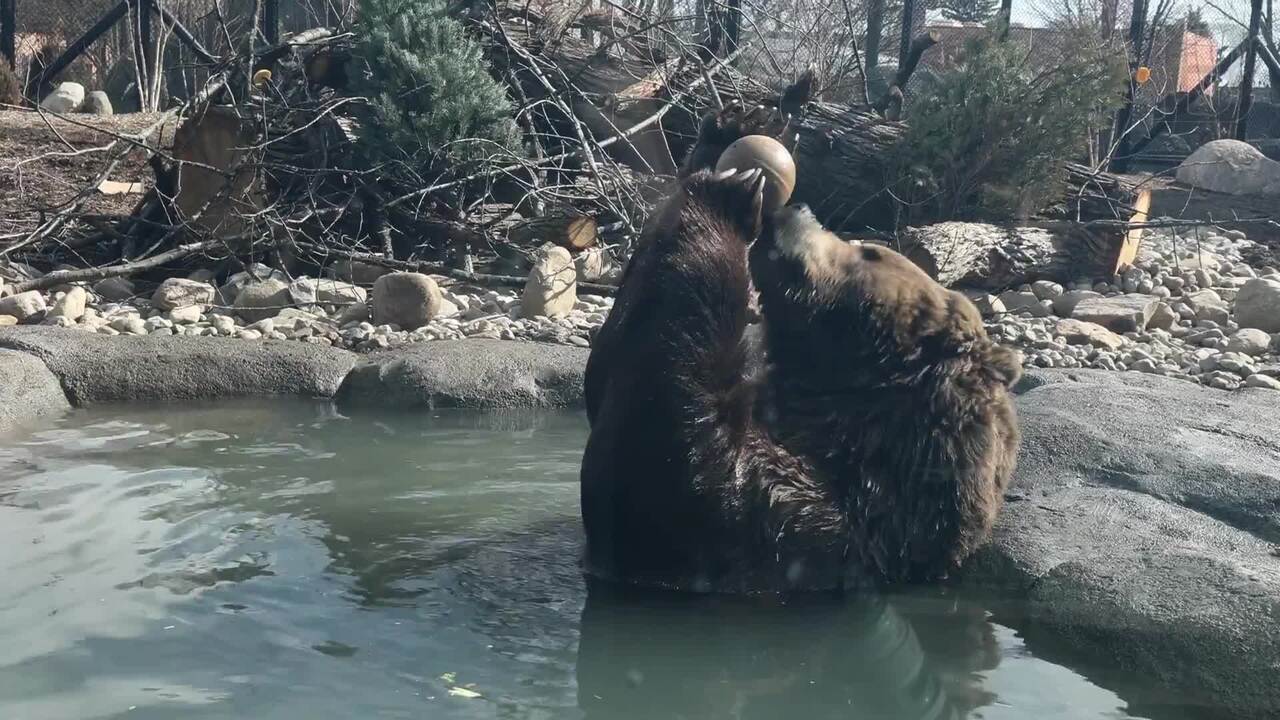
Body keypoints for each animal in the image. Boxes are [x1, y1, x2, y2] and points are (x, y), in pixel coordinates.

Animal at [581, 105, 1018, 589]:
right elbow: (606, 374)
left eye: (869, 251)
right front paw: (733, 130)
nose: (799, 207)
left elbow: (663, 437)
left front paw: (730, 192)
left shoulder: (785, 519)